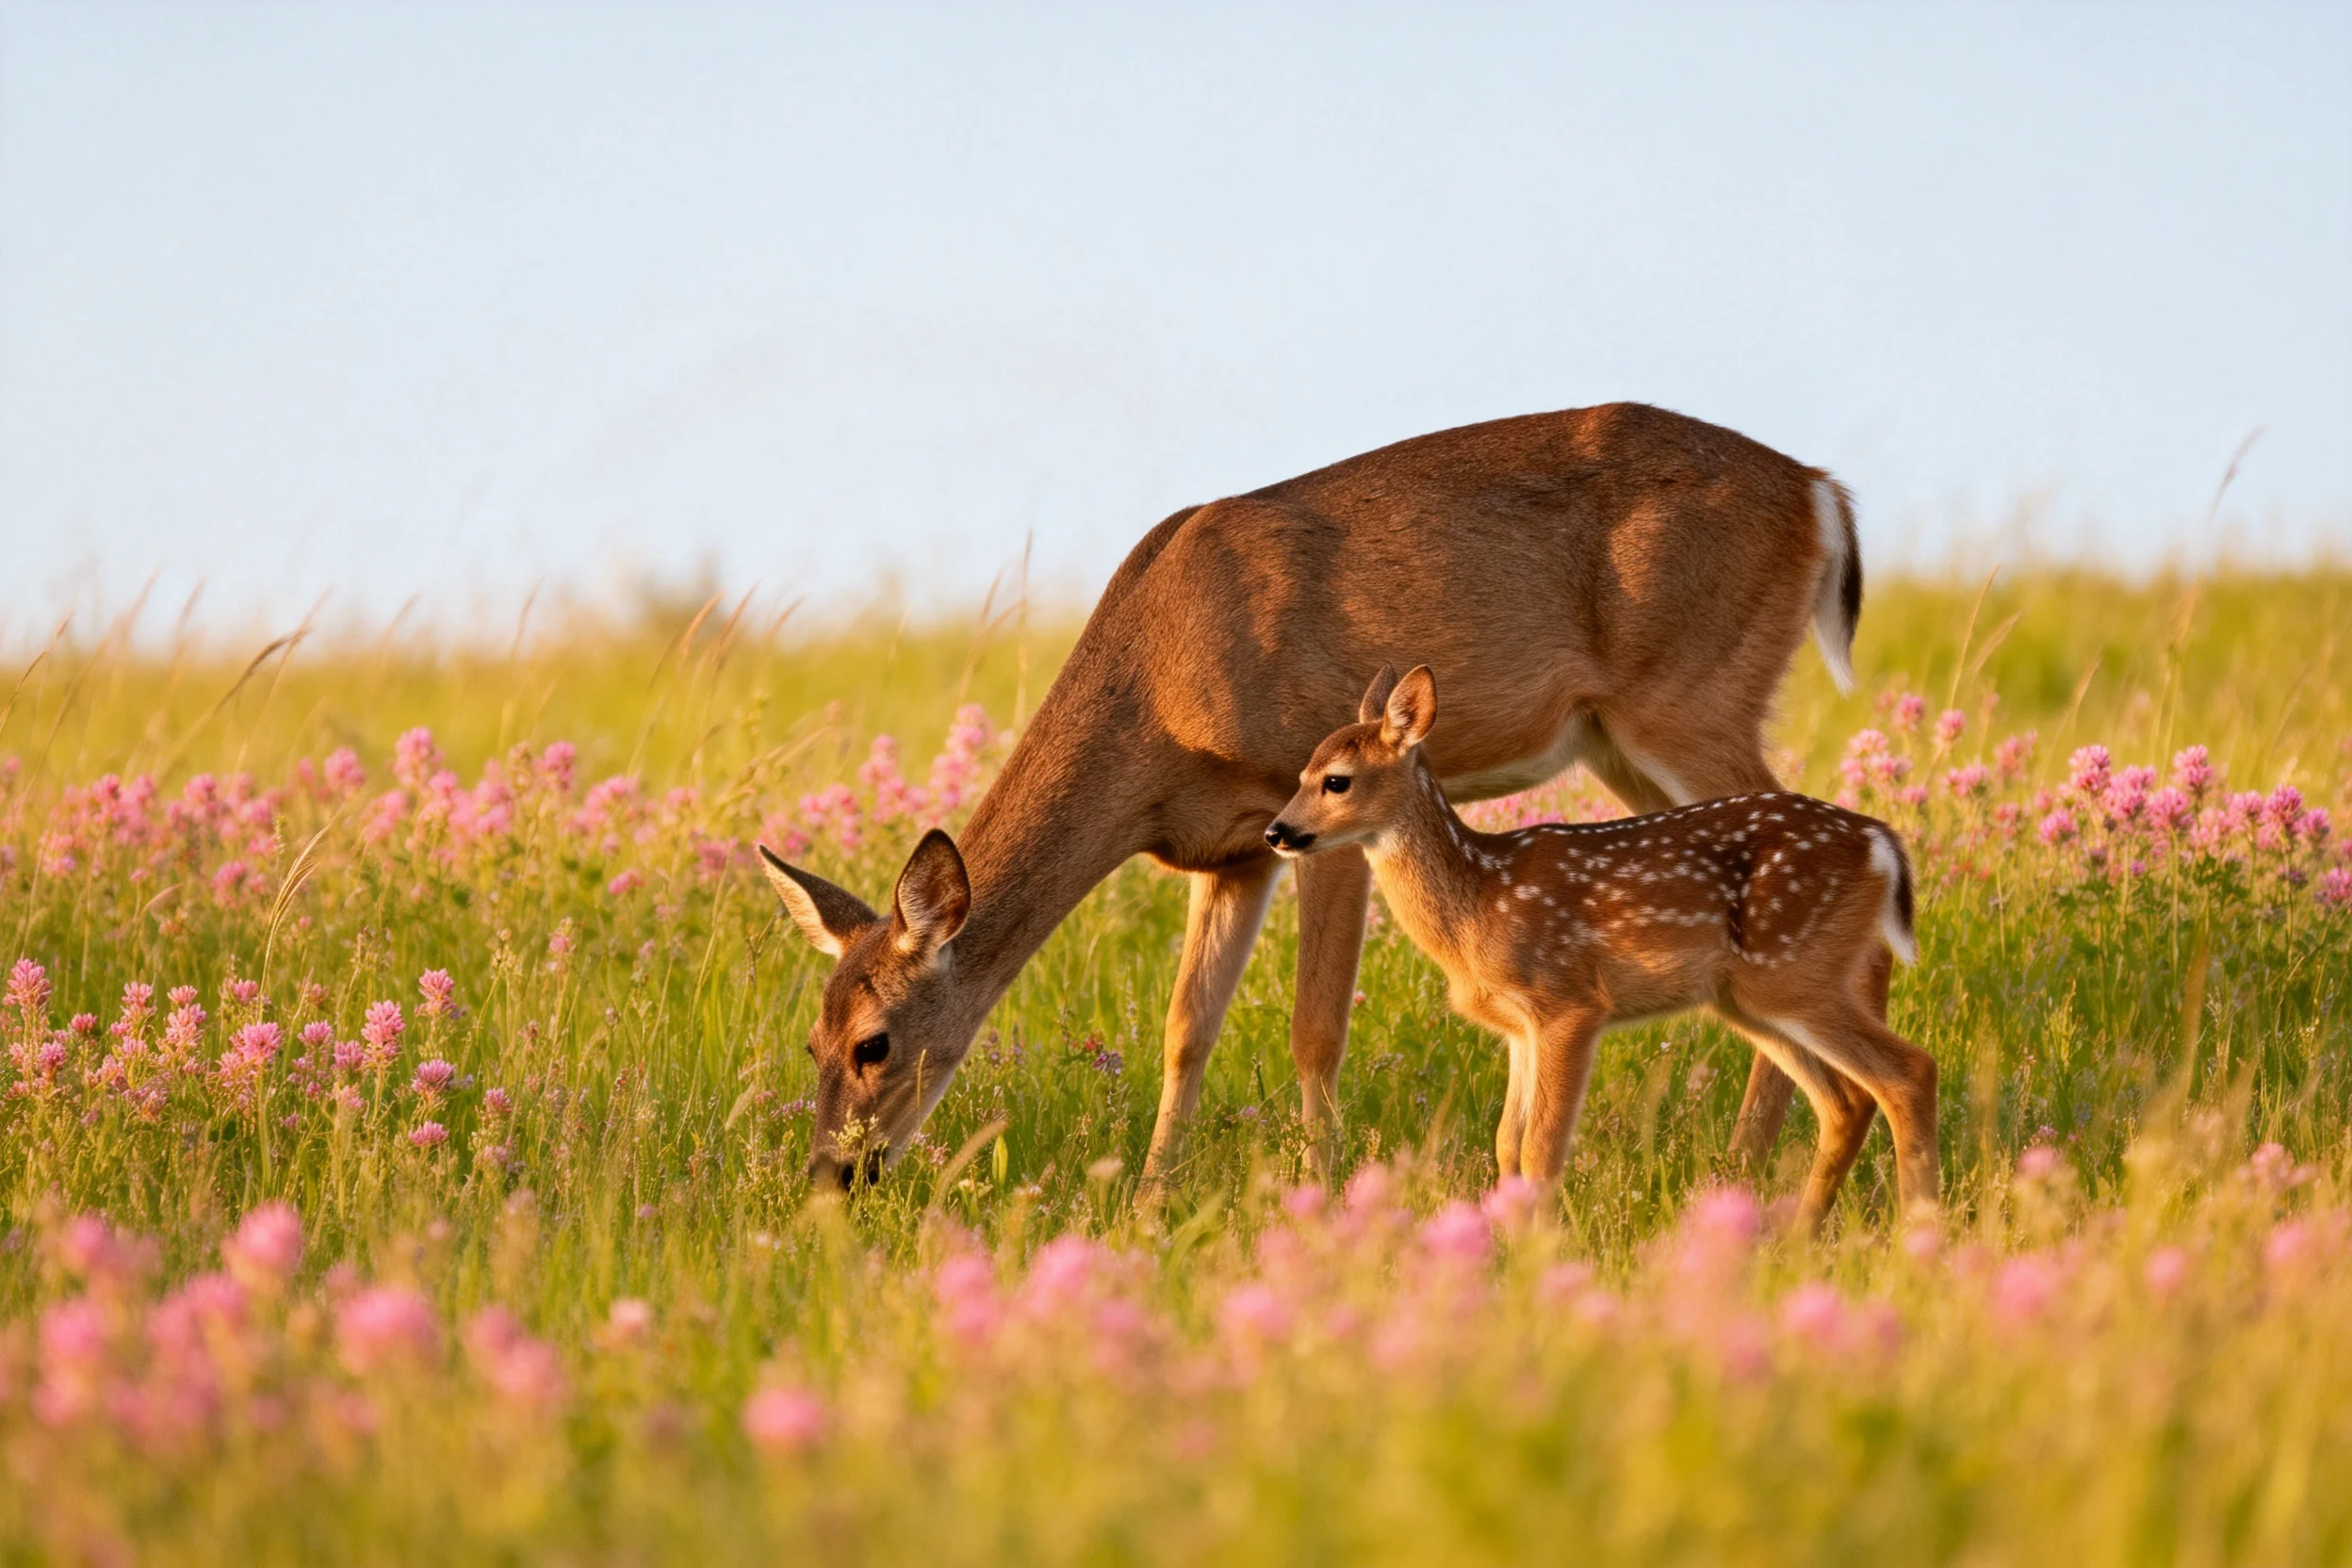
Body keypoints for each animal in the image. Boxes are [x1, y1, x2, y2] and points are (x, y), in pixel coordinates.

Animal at [758, 402, 1864, 1191]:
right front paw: (1152, 1198)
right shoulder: (1229, 851)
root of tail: (1823, 493)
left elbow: (1314, 1026)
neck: (1159, 690)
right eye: (808, 1038)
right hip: (1621, 736)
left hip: (1689, 694)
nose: (833, 1178)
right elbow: (1185, 1029)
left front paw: (1321, 1188)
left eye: (873, 1042)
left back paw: (1751, 1160)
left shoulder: (1314, 815)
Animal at [1267, 664, 1936, 1226]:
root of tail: (1882, 842)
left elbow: (1541, 1150)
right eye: (1299, 775)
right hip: (1749, 998)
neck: (1479, 899)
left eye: (1336, 781)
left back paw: (1919, 1231)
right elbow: (1507, 1145)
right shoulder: (1519, 1028)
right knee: (1846, 1099)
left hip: (1792, 971)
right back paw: (1801, 1233)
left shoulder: (1570, 1002)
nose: (1277, 832)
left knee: (1908, 1072)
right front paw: (1506, 1242)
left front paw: (1537, 1252)